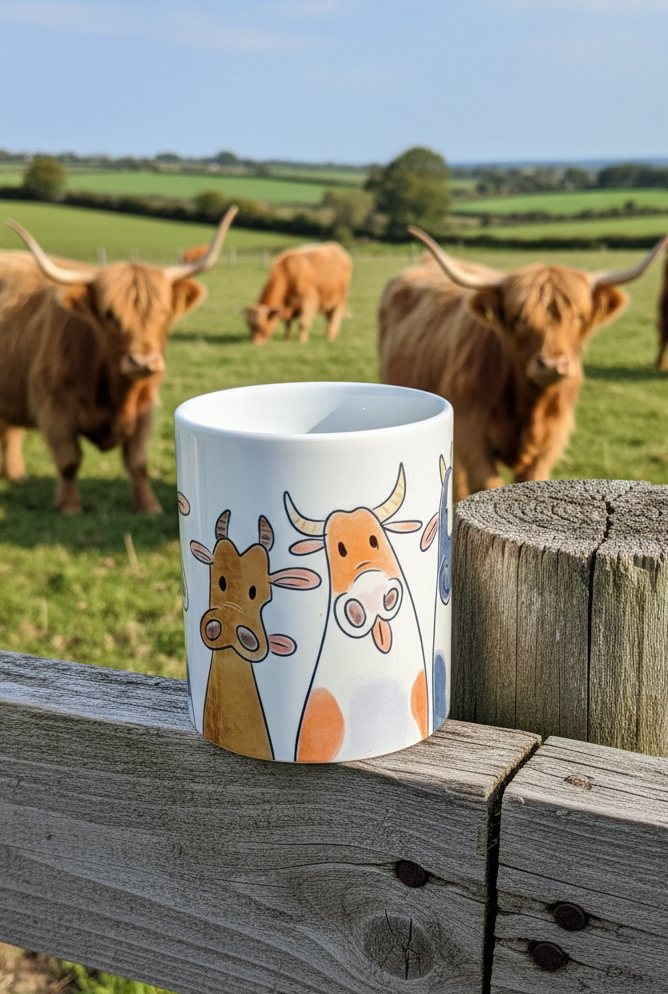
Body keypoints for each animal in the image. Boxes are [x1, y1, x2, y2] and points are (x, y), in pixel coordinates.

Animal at [0, 206, 237, 513]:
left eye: (164, 312)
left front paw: (149, 506)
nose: (143, 361)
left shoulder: (145, 407)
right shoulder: (53, 407)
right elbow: (69, 460)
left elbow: (137, 462)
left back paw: (15, 475)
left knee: (10, 431)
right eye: (110, 314)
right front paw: (70, 506)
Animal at [379, 227, 668, 501]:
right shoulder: (471, 434)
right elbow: (484, 483)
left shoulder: (551, 441)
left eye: (579, 317)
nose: (552, 364)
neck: (528, 407)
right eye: (518, 318)